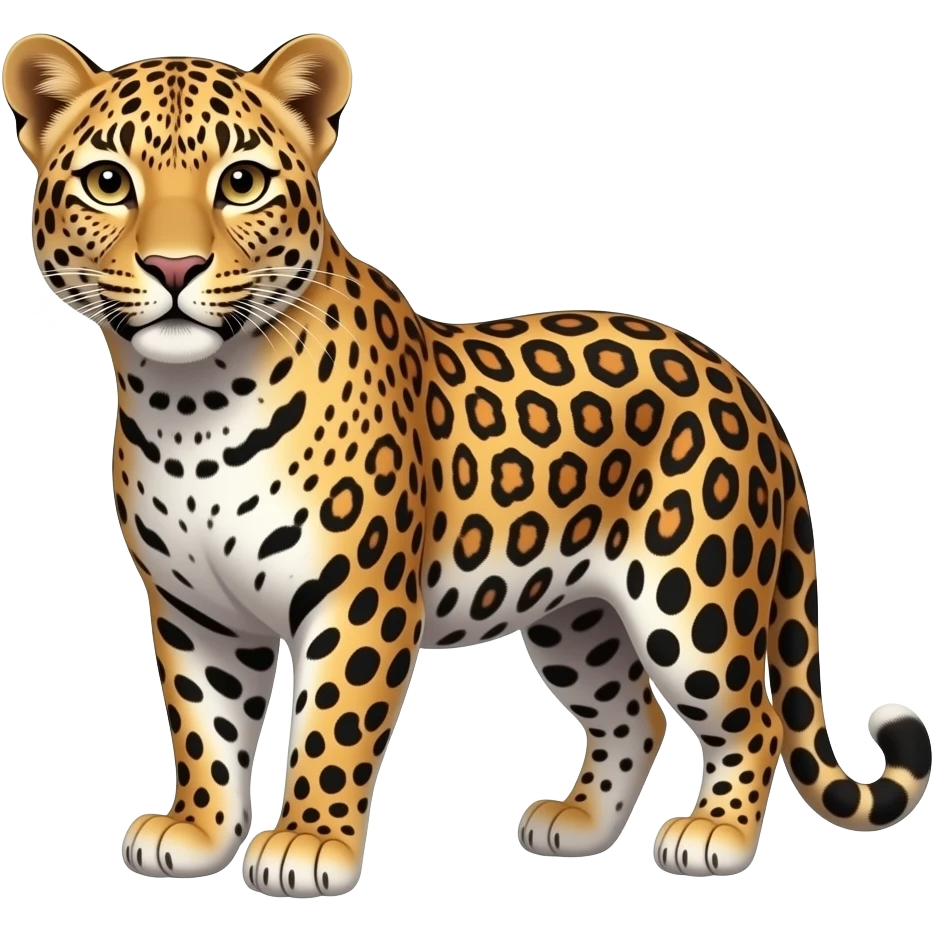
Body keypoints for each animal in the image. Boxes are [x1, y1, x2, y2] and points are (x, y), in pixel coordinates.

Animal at [4, 32, 930, 896]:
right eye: (109, 181)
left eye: (240, 183)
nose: (173, 267)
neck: (190, 405)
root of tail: (743, 385)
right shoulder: (195, 610)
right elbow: (207, 729)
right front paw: (198, 831)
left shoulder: (359, 595)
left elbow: (334, 722)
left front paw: (307, 843)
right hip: (573, 616)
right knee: (632, 713)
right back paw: (577, 823)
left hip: (692, 600)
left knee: (751, 718)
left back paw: (714, 835)